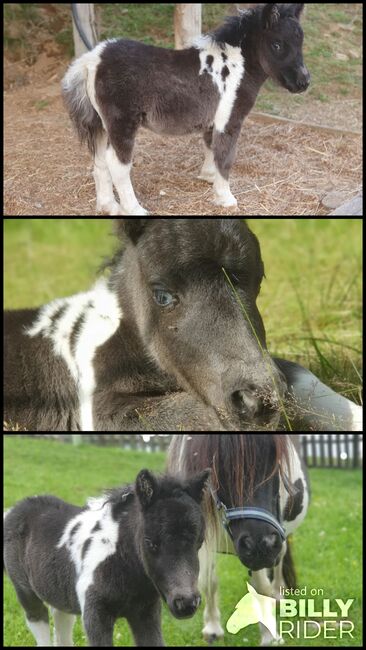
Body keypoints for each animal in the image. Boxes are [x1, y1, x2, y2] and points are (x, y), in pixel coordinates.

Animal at [3, 466, 209, 644]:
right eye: (150, 542)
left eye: (199, 542)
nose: (187, 603)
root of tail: (13, 510)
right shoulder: (95, 615)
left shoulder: (147, 614)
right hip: (26, 592)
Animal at [62, 3, 308, 215]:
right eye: (277, 44)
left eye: (301, 43)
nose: (304, 82)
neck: (234, 66)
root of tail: (92, 60)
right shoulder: (229, 121)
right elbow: (225, 157)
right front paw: (226, 198)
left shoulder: (212, 121)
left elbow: (210, 148)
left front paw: (208, 177)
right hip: (121, 123)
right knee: (117, 164)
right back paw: (134, 209)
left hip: (101, 124)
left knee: (100, 162)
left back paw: (108, 206)